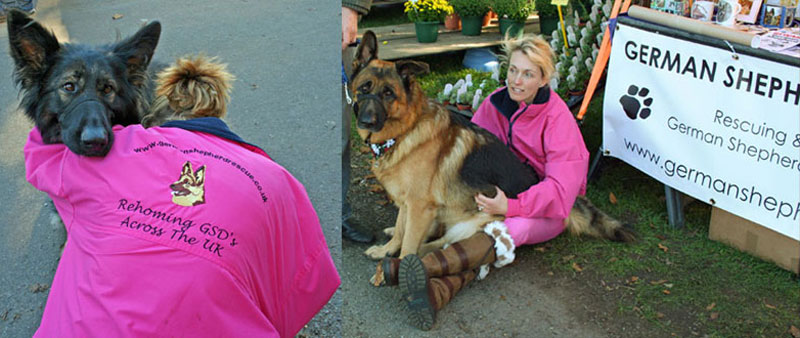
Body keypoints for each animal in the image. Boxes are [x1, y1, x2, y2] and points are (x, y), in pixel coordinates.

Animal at [348, 31, 632, 262]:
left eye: (388, 94)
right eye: (364, 88)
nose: (366, 121)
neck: (406, 130)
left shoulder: (419, 206)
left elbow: (407, 242)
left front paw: (400, 265)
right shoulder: (409, 204)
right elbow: (399, 229)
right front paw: (387, 250)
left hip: (473, 223)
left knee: (444, 243)